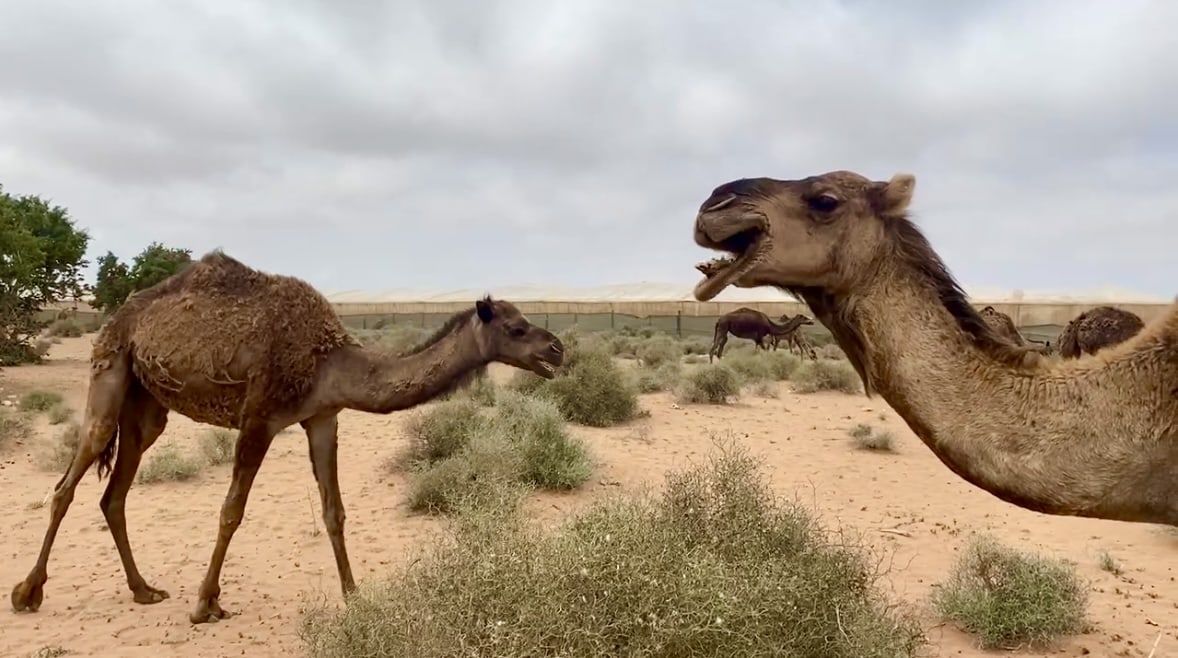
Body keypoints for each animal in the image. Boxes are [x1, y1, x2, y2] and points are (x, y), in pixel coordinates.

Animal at [8, 250, 560, 621]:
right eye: (515, 327)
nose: (556, 348)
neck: (331, 359)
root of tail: (119, 316)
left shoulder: (323, 416)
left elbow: (334, 511)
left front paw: (354, 597)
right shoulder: (260, 416)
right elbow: (231, 511)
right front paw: (205, 604)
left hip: (147, 407)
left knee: (114, 494)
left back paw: (144, 590)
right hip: (110, 369)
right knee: (67, 484)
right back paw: (27, 593)